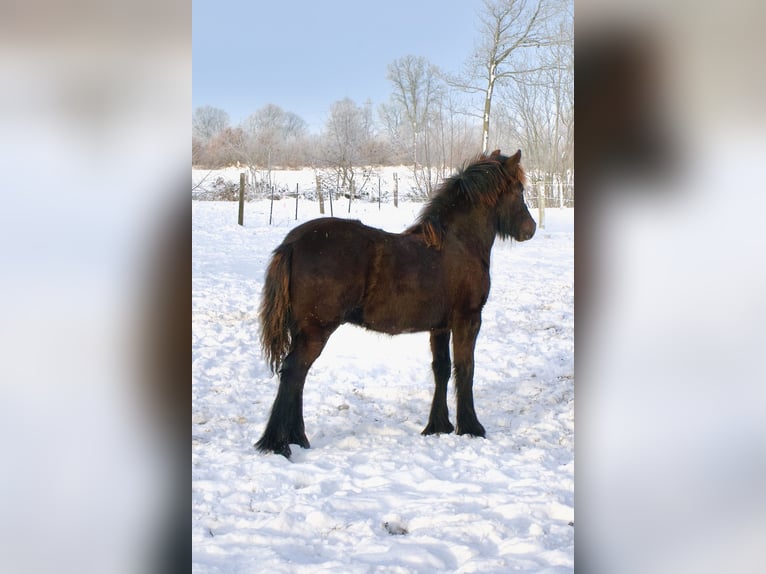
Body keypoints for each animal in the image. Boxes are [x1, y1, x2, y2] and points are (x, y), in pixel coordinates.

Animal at [255, 149, 536, 458]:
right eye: (519, 189)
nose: (530, 229)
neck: (459, 243)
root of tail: (293, 243)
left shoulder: (440, 326)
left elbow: (441, 368)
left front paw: (438, 426)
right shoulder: (468, 319)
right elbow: (466, 368)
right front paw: (471, 427)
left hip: (303, 331)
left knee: (297, 376)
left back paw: (297, 438)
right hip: (316, 331)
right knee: (294, 372)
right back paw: (279, 443)